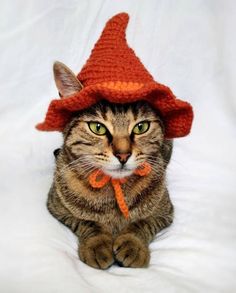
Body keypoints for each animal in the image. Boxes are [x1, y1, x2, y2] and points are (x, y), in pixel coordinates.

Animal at [48, 62, 173, 270]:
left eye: (141, 127)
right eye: (97, 128)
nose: (123, 155)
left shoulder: (165, 212)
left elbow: (143, 223)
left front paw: (133, 244)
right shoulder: (57, 207)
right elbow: (87, 221)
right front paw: (97, 244)